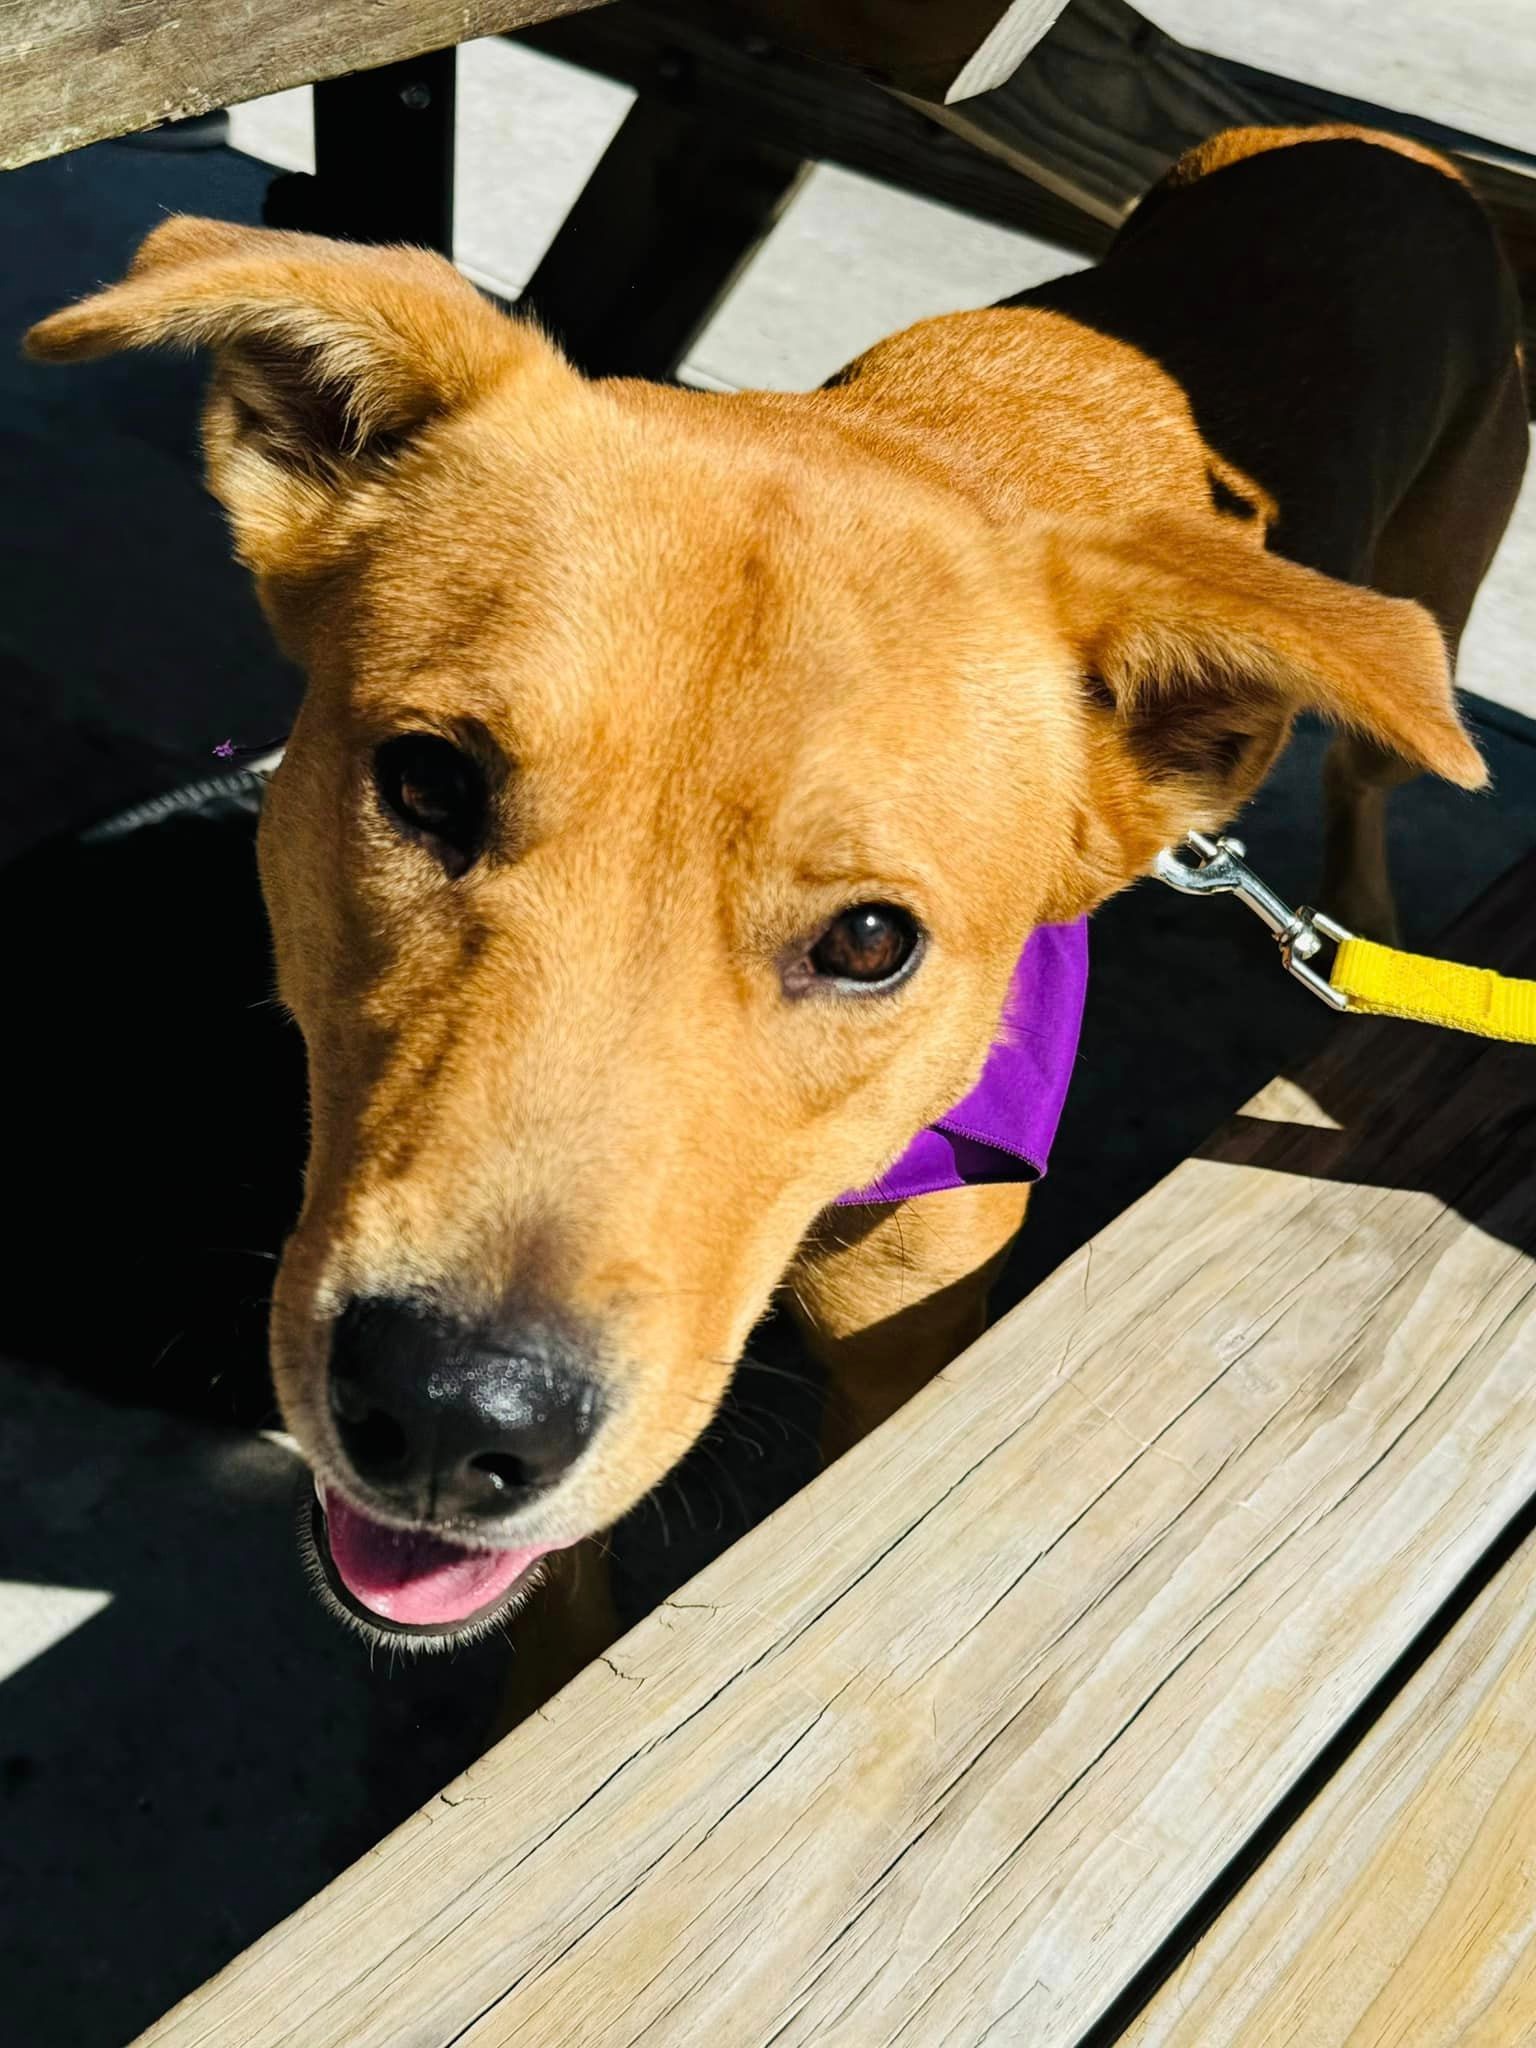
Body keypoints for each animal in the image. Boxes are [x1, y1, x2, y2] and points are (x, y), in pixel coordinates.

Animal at [30, 132, 1531, 1695]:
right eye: (428, 785)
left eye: (872, 941)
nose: (449, 1416)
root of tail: (1397, 151)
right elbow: (560, 1584)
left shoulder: (897, 1357)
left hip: (1427, 616)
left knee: (1367, 781)